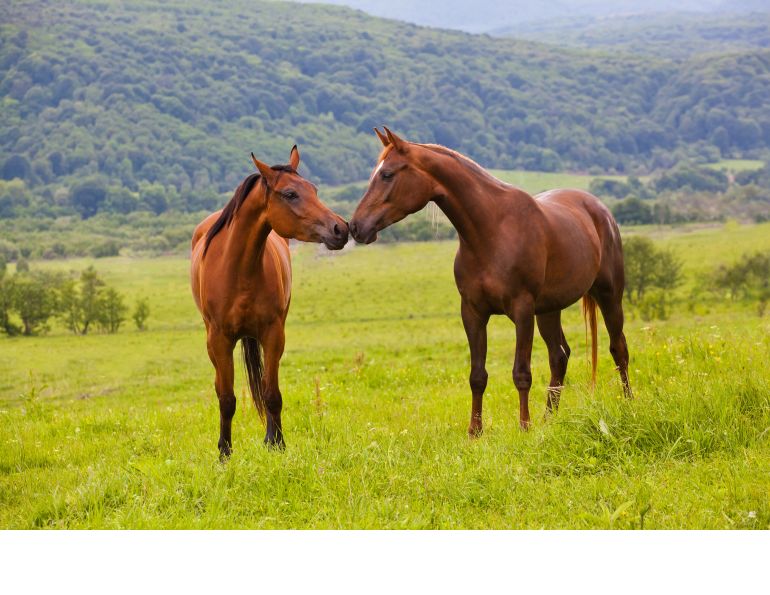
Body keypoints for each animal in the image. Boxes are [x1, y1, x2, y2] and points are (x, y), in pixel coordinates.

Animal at [191, 146, 348, 457]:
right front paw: (224, 452)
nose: (341, 228)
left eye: (314, 189)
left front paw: (276, 444)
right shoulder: (220, 340)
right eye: (290, 193)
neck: (239, 269)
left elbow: (271, 394)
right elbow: (226, 398)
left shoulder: (274, 334)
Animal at [349, 127, 631, 436]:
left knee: (618, 349)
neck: (490, 232)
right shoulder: (473, 313)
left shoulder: (522, 311)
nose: (355, 227)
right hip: (549, 310)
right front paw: (475, 432)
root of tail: (599, 209)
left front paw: (524, 427)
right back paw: (549, 421)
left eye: (387, 174)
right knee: (559, 356)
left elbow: (521, 373)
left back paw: (629, 404)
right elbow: (477, 375)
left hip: (609, 295)